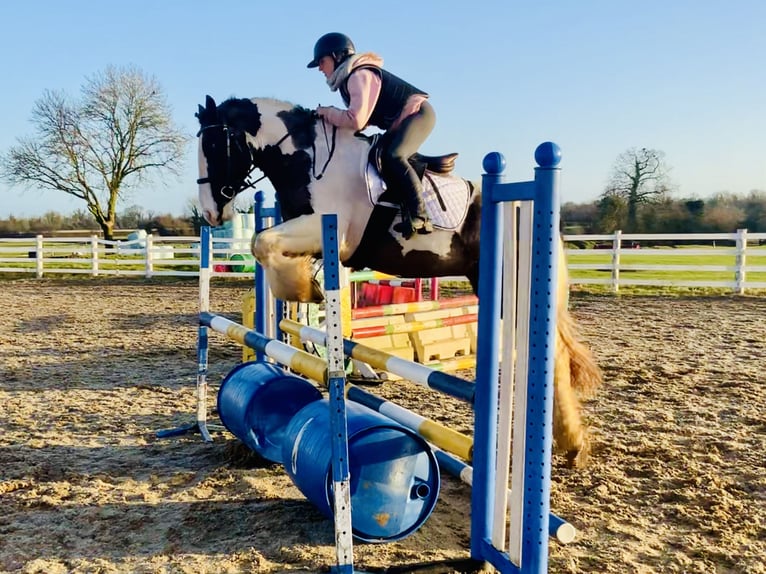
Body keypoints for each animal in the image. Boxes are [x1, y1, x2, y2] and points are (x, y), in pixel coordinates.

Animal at [195, 97, 604, 470]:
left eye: (214, 145)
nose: (211, 214)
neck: (308, 160)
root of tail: (526, 209)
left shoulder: (328, 231)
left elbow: (261, 243)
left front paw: (303, 288)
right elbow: (265, 247)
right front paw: (303, 287)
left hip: (511, 290)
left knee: (554, 354)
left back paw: (570, 444)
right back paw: (568, 444)